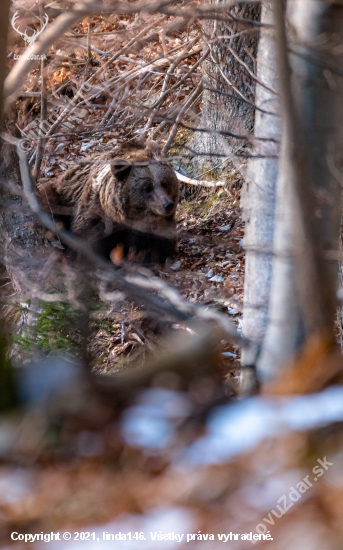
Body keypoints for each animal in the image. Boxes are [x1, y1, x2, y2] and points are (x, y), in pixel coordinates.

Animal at [40, 147, 180, 266]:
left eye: (165, 183)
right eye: (147, 187)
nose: (167, 204)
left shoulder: (153, 227)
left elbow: (158, 247)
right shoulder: (97, 216)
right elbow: (85, 239)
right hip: (61, 194)